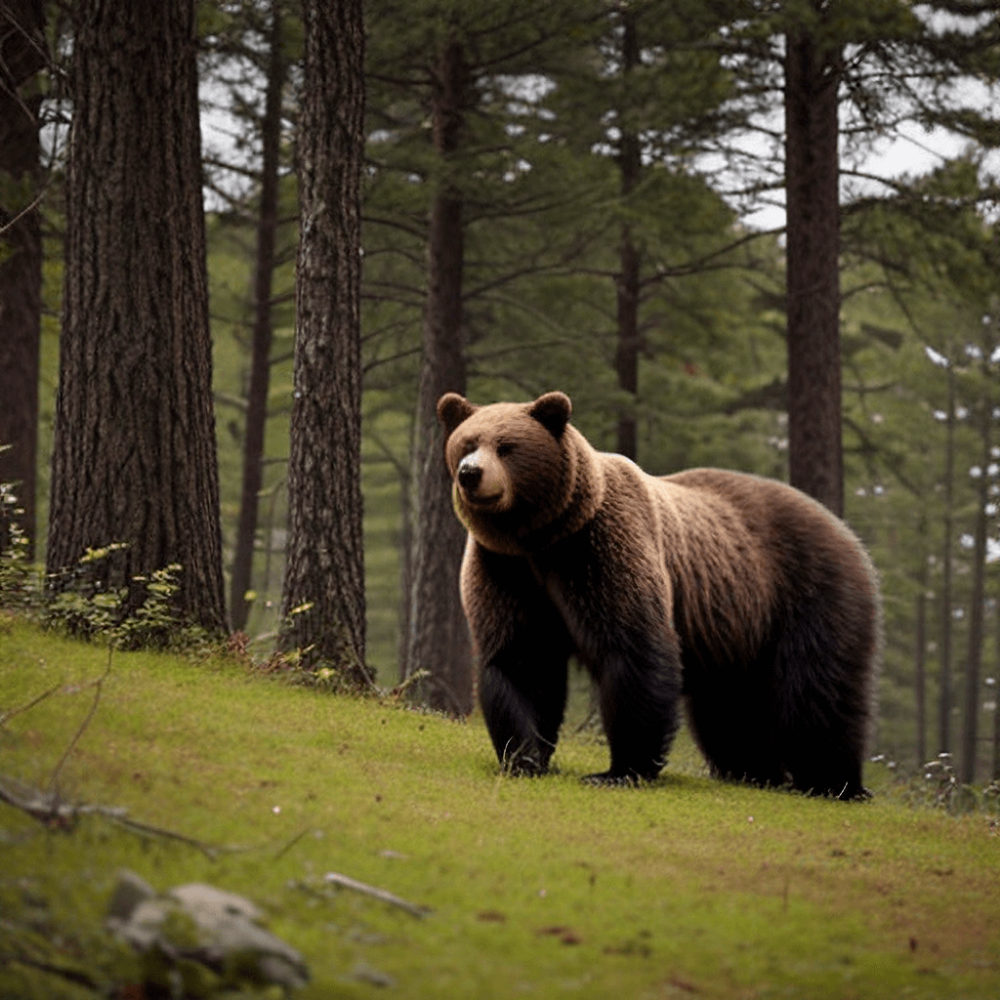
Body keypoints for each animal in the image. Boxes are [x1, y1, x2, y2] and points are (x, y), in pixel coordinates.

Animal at [438, 388, 884, 796]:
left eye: (506, 446)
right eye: (466, 443)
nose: (470, 473)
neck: (543, 539)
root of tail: (844, 529)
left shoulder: (601, 550)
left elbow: (633, 646)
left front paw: (619, 770)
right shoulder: (507, 569)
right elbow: (522, 661)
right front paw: (524, 758)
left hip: (808, 590)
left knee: (815, 689)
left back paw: (833, 782)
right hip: (733, 625)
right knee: (729, 709)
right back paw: (753, 771)